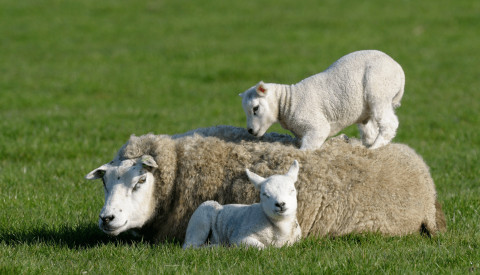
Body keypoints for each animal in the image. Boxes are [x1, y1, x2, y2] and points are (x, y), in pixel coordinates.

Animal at [240, 49, 404, 151]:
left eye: (255, 108)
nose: (250, 130)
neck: (288, 101)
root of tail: (399, 69)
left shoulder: (316, 126)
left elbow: (309, 146)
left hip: (379, 91)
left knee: (389, 123)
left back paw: (375, 148)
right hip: (367, 108)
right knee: (370, 129)